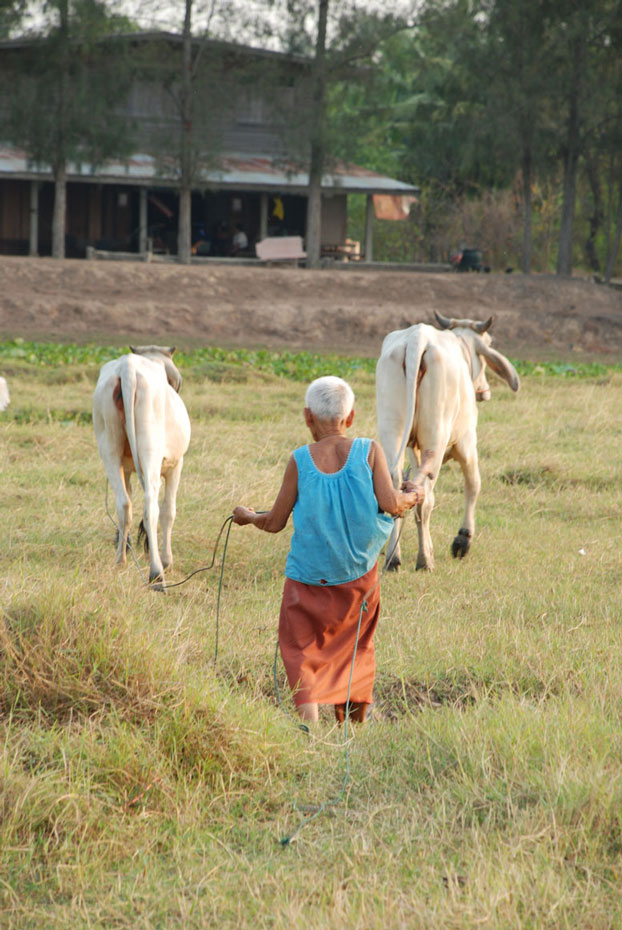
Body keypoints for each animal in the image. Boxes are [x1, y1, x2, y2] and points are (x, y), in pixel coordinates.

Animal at [92, 340, 190, 588]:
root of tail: (127, 367)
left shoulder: (126, 469)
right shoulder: (176, 465)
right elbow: (169, 511)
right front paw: (167, 560)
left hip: (109, 450)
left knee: (123, 503)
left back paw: (121, 559)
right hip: (149, 450)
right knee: (151, 506)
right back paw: (157, 571)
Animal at [376, 312, 520, 568]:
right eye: (488, 343)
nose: (484, 391)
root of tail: (417, 338)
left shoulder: (413, 448)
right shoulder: (467, 441)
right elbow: (473, 485)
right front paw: (463, 540)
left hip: (392, 429)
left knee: (398, 487)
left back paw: (394, 559)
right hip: (437, 435)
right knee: (423, 495)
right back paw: (424, 560)